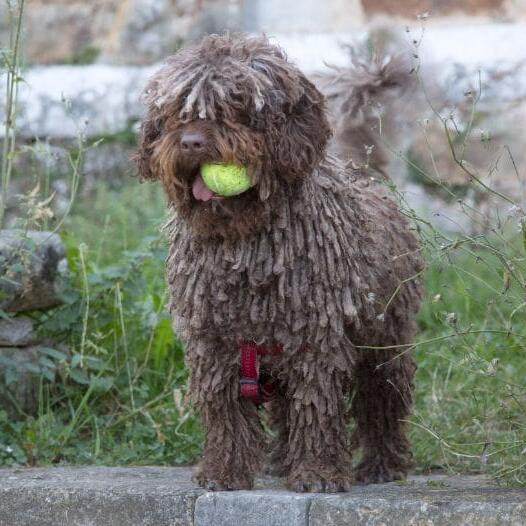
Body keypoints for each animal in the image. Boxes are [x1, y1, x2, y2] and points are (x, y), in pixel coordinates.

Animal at [136, 33, 424, 496]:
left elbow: (317, 406)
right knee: (289, 409)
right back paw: (284, 459)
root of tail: (366, 174)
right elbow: (225, 412)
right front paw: (223, 471)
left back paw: (382, 464)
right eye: (180, 110)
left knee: (382, 399)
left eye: (237, 105)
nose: (192, 142)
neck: (243, 244)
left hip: (385, 338)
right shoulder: (212, 342)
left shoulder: (316, 337)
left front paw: (319, 473)